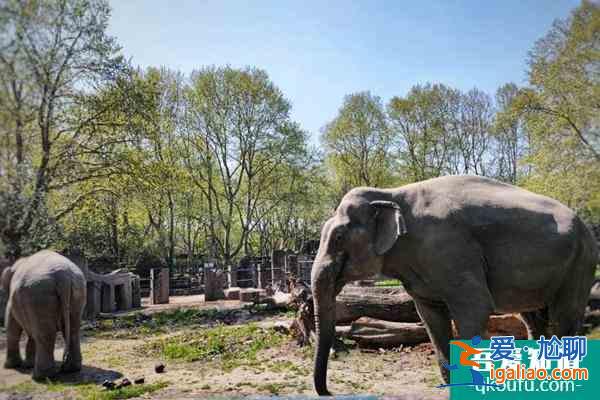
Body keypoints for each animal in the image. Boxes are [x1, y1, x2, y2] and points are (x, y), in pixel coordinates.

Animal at [1, 252, 86, 380]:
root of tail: (63, 276)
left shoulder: (13, 302)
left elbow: (12, 326)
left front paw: (11, 366)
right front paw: (28, 364)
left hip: (39, 295)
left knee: (45, 335)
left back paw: (40, 377)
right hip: (77, 292)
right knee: (73, 331)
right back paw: (70, 369)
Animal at [312, 175, 596, 394]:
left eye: (338, 237)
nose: (329, 392)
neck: (390, 193)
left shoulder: (451, 250)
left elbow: (475, 308)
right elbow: (431, 318)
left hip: (581, 261)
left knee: (565, 318)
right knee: (534, 319)